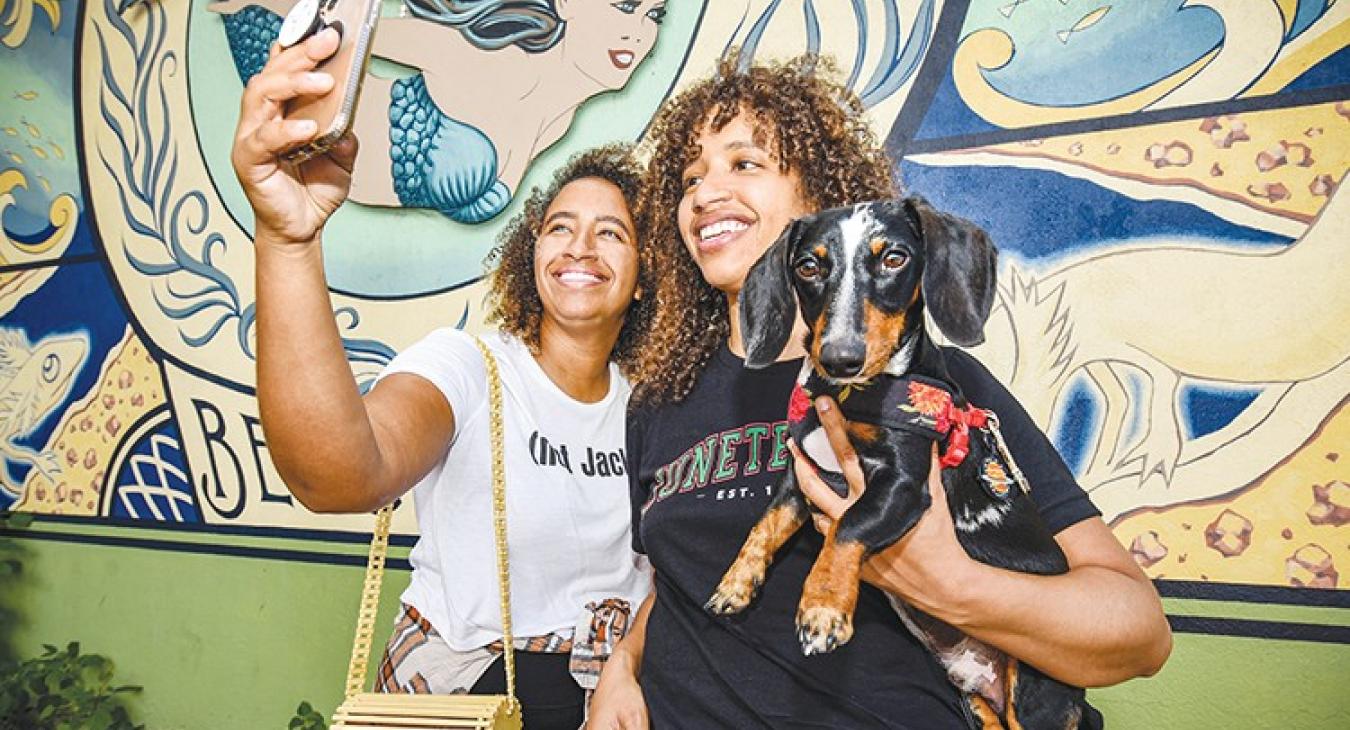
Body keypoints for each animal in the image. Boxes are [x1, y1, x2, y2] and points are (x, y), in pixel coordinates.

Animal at [712, 198, 1080, 728]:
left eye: (894, 259)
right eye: (808, 267)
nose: (839, 357)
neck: (847, 399)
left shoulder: (902, 487)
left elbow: (849, 524)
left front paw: (822, 608)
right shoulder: (799, 477)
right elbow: (763, 527)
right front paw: (736, 583)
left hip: (1032, 696)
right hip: (976, 703)